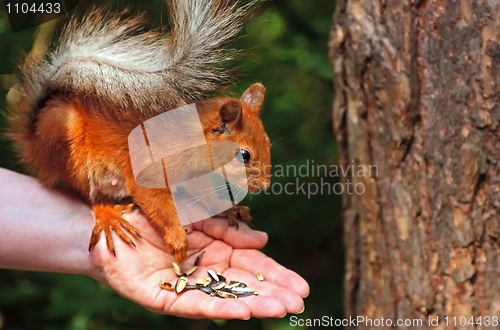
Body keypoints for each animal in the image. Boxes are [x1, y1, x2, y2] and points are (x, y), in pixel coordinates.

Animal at [4, 0, 270, 262]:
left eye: (268, 143)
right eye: (244, 155)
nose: (265, 186)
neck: (190, 143)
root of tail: (35, 144)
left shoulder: (193, 174)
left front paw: (230, 209)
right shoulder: (148, 168)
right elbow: (152, 198)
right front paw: (176, 237)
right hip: (67, 147)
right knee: (86, 195)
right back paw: (108, 215)